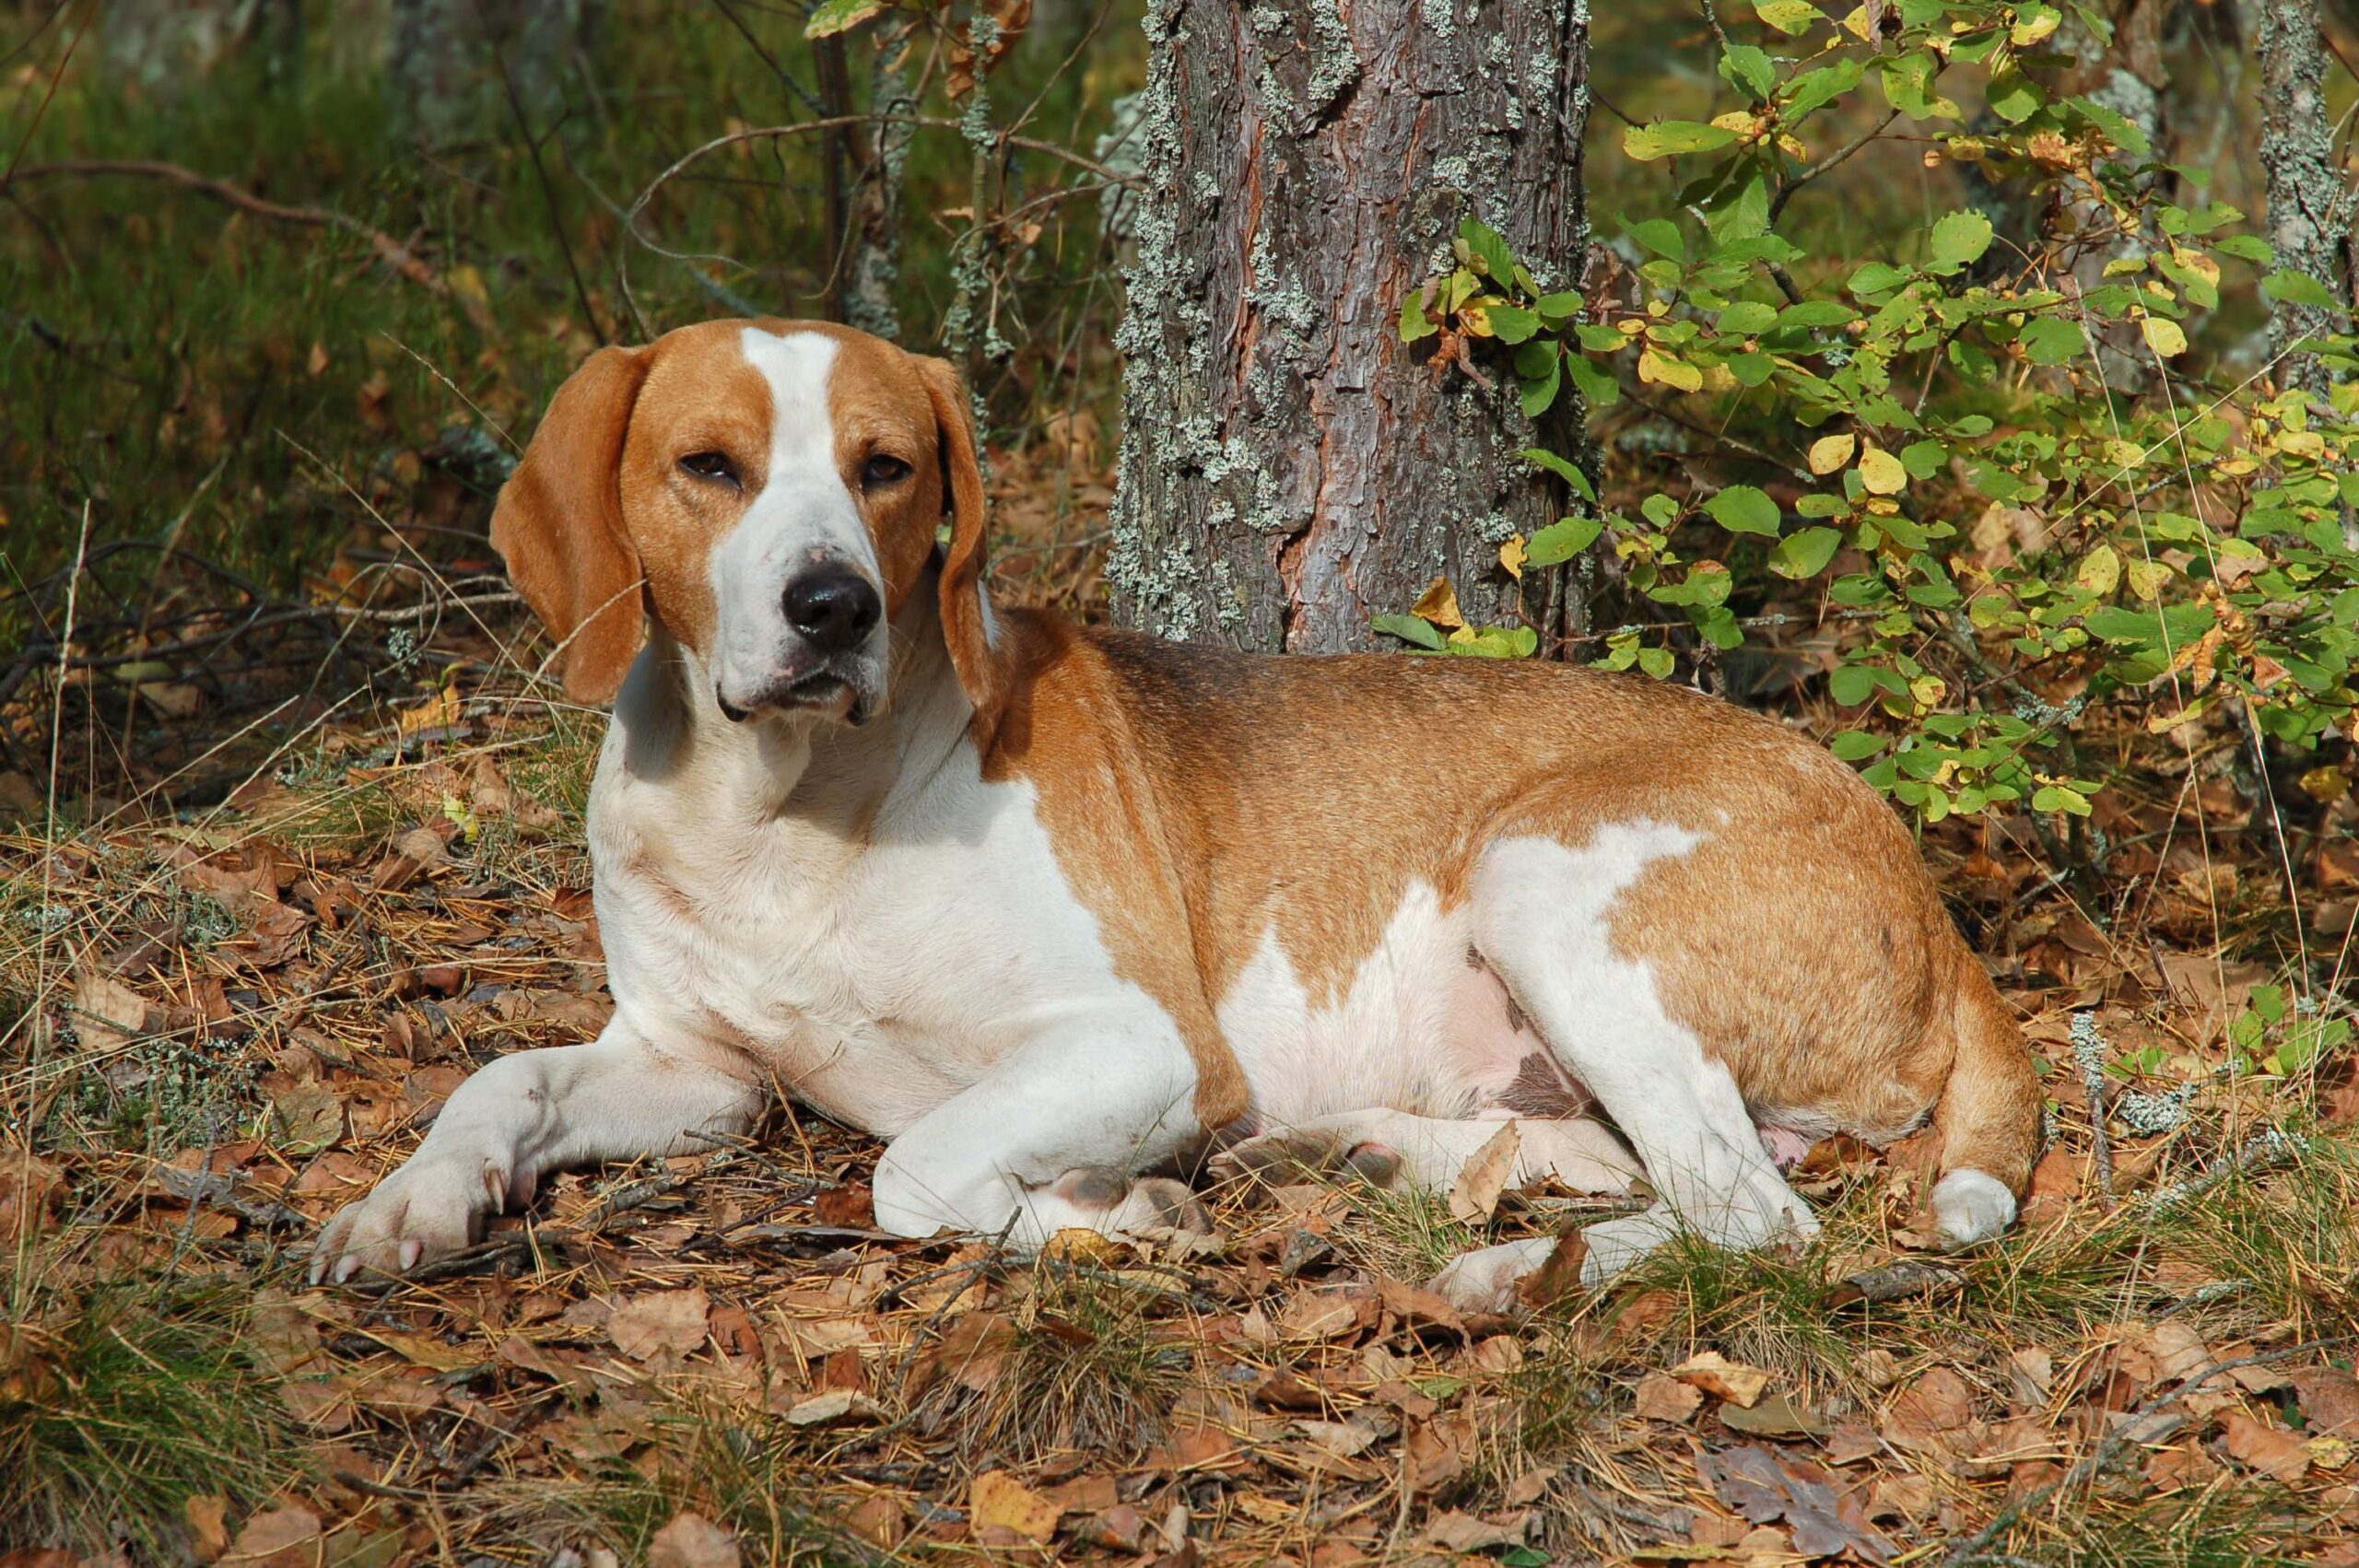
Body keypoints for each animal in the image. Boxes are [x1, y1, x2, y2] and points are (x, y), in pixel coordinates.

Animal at [318, 318, 2048, 1311]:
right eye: (708, 466)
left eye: (887, 468)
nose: (832, 608)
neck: (790, 808)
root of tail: (1917, 877)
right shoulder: (694, 1071)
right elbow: (501, 1079)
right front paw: (409, 1201)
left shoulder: (1140, 1045)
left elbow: (915, 1172)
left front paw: (1115, 1218)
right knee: (1649, 1167)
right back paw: (1386, 1161)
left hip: (1545, 876)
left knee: (1756, 1219)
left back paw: (1501, 1269)